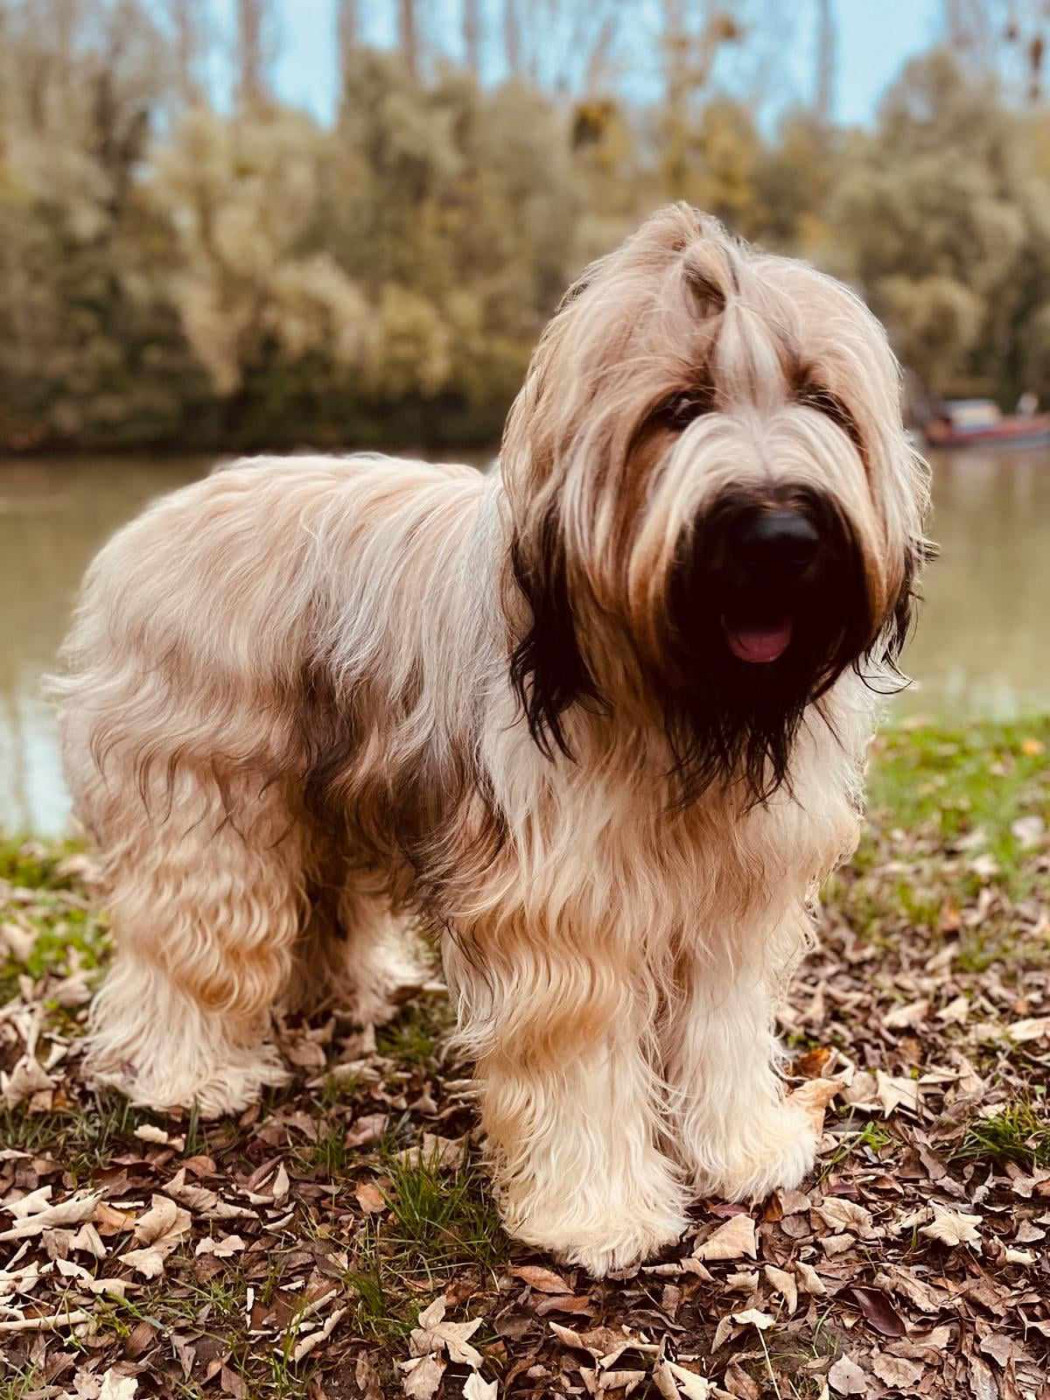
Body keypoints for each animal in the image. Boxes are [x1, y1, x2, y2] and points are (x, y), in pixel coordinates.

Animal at [55, 205, 929, 1275]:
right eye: (678, 407)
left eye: (820, 399)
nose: (778, 534)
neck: (682, 699)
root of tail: (147, 529)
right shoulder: (564, 909)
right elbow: (580, 1059)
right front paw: (600, 1214)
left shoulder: (736, 893)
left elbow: (721, 1027)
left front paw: (741, 1147)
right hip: (208, 794)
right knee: (196, 938)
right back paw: (186, 1073)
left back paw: (347, 993)